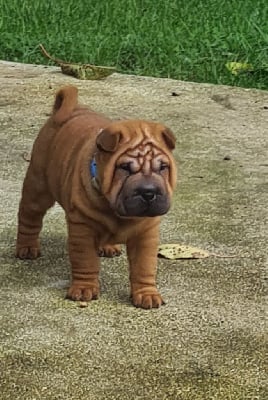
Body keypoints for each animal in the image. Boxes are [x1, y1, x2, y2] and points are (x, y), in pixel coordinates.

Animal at [15, 86, 177, 308]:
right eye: (124, 168)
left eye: (163, 167)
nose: (149, 192)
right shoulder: (83, 230)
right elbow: (86, 261)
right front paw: (84, 289)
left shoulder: (146, 234)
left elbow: (144, 266)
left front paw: (147, 294)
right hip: (38, 187)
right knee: (29, 217)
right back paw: (27, 248)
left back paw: (108, 247)